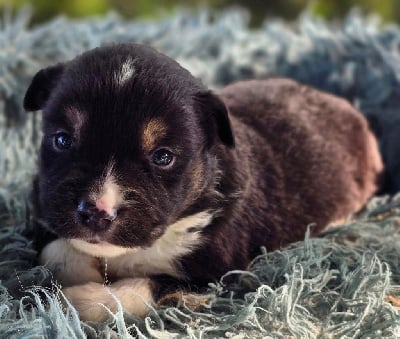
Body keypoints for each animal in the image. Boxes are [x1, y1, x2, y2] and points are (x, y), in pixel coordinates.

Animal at [23, 42, 382, 322]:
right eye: (62, 140)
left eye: (163, 157)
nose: (97, 213)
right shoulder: (44, 205)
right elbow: (57, 247)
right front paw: (76, 272)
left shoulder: (216, 273)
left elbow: (143, 286)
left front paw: (75, 301)